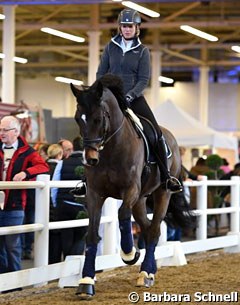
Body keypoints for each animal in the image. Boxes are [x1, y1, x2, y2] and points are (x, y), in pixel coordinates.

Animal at [70, 74, 192, 300]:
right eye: (77, 119)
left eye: (98, 119)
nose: (90, 159)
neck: (111, 148)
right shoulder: (95, 194)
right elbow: (91, 233)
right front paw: (86, 282)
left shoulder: (130, 190)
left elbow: (122, 214)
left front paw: (129, 253)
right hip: (141, 200)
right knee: (147, 227)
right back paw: (150, 269)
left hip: (162, 194)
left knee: (154, 230)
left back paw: (144, 274)